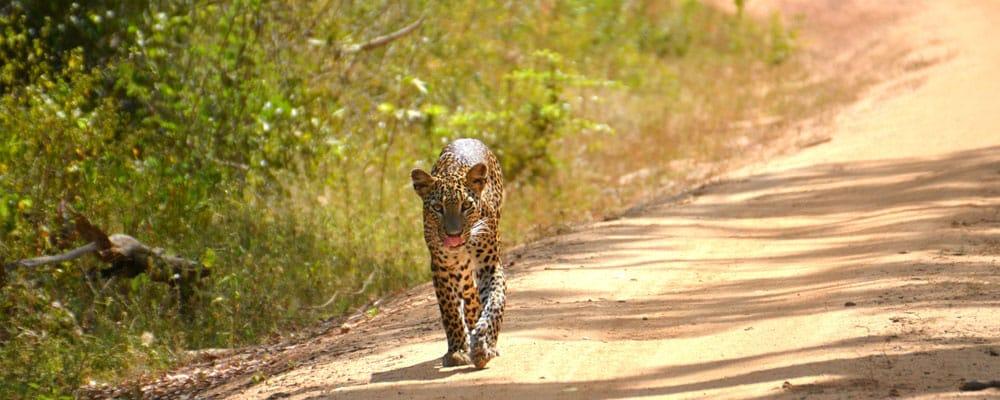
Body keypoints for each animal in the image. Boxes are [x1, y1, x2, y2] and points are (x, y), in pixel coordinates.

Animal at [411, 138, 506, 369]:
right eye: (437, 208)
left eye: (466, 206)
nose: (453, 234)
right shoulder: (441, 268)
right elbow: (450, 311)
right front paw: (458, 351)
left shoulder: (489, 265)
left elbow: (495, 302)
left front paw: (484, 344)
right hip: (460, 271)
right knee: (469, 295)